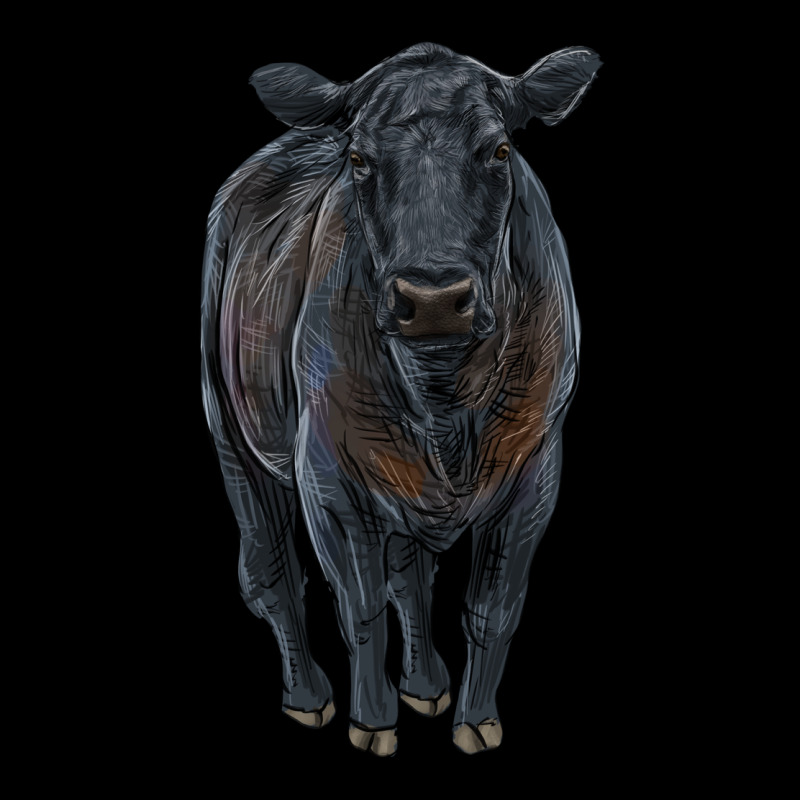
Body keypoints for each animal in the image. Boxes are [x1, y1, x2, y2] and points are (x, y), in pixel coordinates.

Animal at [200, 42, 600, 756]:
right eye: (360, 158)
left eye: (500, 150)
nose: (434, 298)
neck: (444, 398)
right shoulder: (328, 474)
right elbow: (358, 604)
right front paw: (371, 721)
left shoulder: (535, 471)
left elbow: (491, 607)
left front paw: (476, 720)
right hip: (230, 427)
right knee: (271, 571)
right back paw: (309, 697)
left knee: (409, 572)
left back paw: (425, 685)